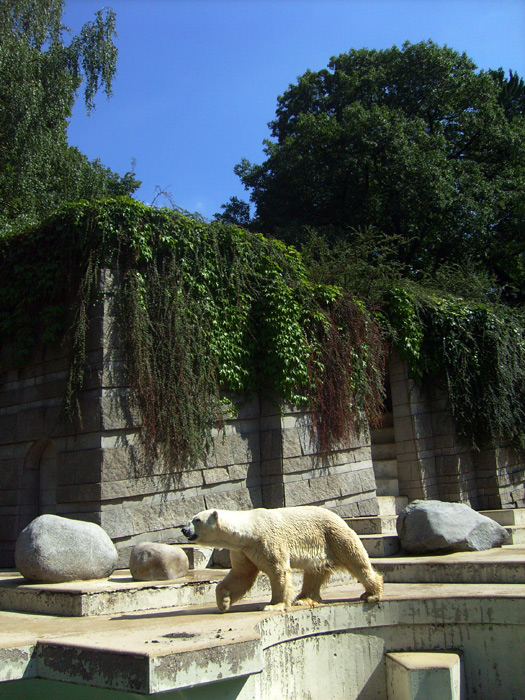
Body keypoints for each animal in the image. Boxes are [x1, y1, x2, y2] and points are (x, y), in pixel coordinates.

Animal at [182, 506, 382, 608]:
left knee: (356, 561)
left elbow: (278, 570)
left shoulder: (267, 540)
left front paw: (274, 604)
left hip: (334, 537)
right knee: (314, 573)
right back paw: (304, 598)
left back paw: (372, 594)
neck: (249, 530)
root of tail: (340, 518)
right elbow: (241, 575)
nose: (184, 529)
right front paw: (223, 602)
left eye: (196, 520)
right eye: (192, 518)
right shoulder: (243, 550)